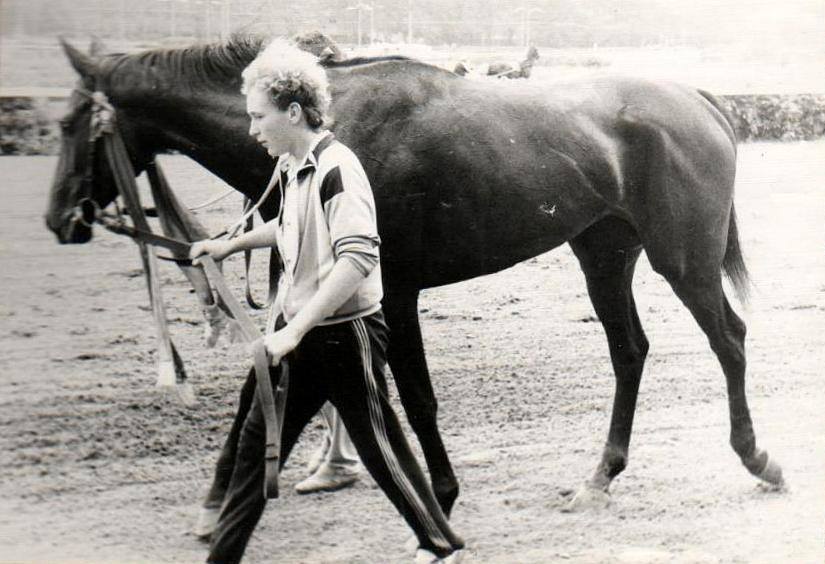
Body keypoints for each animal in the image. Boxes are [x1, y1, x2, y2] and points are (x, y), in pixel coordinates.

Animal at [46, 35, 784, 519]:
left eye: (70, 121)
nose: (59, 218)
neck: (334, 133)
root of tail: (698, 99)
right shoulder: (312, 299)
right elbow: (267, 384)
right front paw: (223, 489)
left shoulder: (391, 292)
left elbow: (418, 399)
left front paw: (441, 496)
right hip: (602, 255)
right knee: (629, 352)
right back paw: (599, 476)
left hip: (682, 258)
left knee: (729, 340)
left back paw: (756, 458)